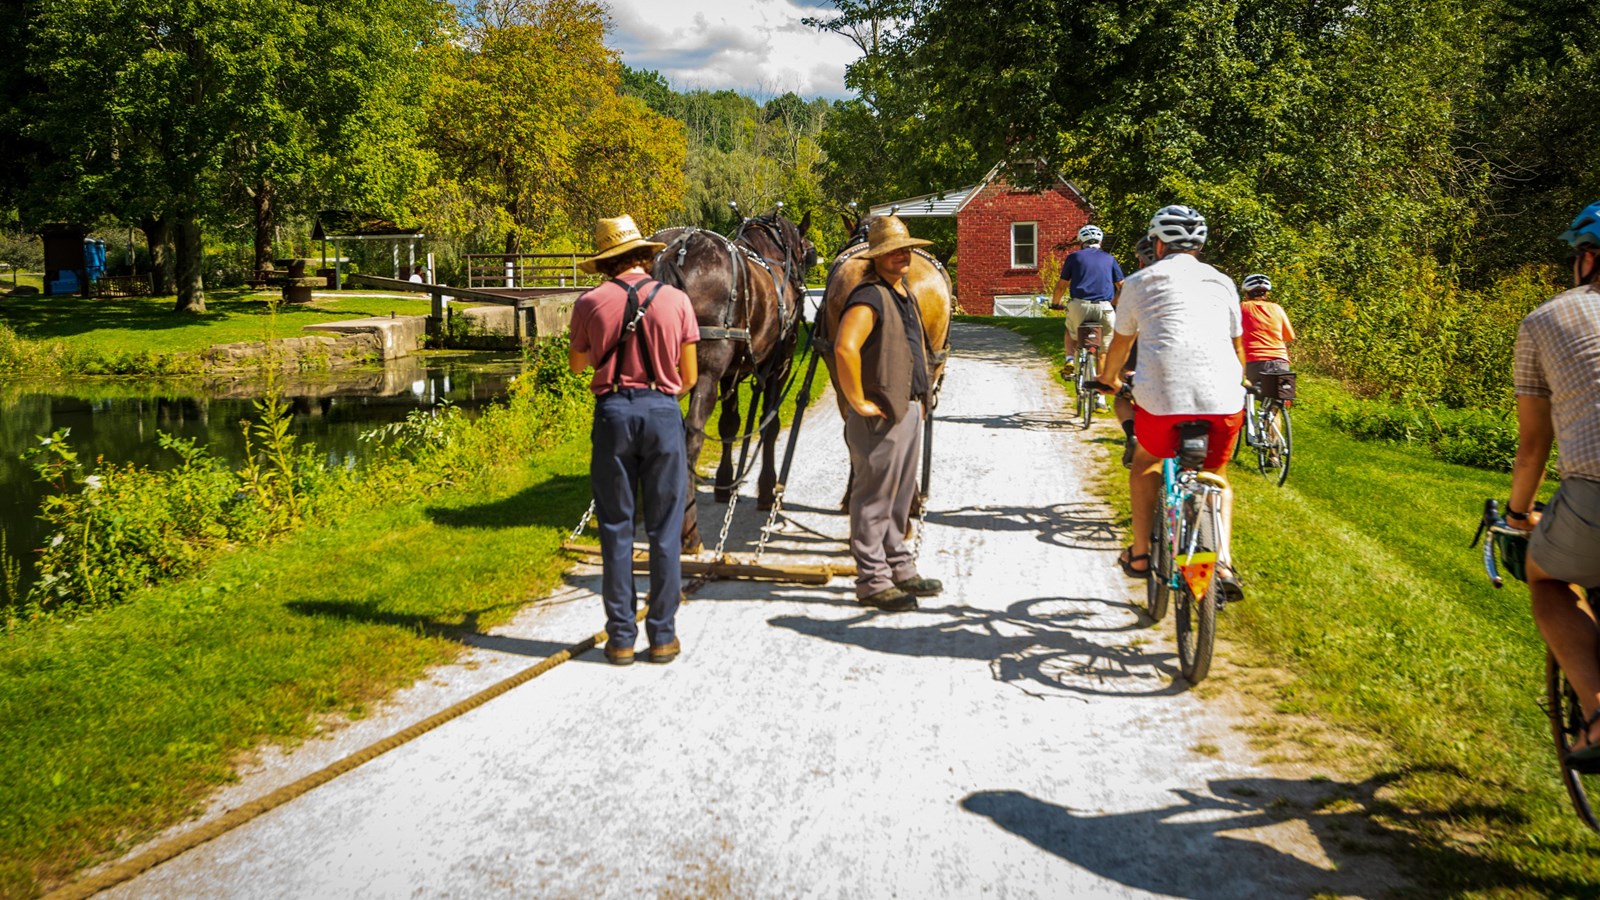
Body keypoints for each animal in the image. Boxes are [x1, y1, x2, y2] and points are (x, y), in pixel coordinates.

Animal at [646, 212, 812, 550]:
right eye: (803, 248)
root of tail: (673, 251)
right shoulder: (779, 366)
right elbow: (769, 425)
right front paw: (766, 489)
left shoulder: (730, 374)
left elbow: (729, 425)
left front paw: (724, 484)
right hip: (707, 373)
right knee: (690, 436)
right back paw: (688, 532)